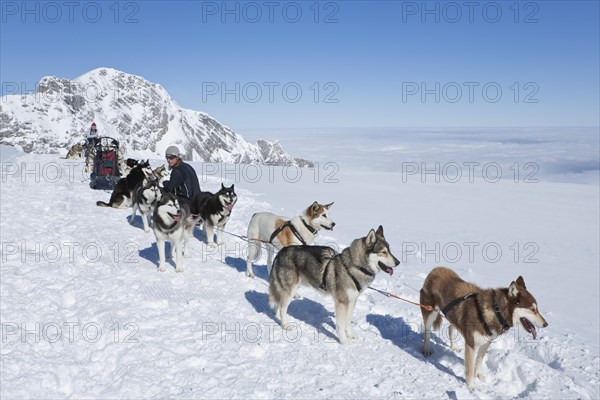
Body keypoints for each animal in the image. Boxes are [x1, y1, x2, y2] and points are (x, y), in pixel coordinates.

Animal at [270, 225, 400, 344]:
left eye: (390, 250)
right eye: (383, 252)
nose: (398, 262)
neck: (354, 266)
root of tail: (281, 252)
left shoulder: (352, 301)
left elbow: (348, 321)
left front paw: (350, 335)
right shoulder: (342, 303)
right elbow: (341, 324)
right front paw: (343, 341)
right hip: (290, 290)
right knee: (282, 308)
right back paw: (285, 325)